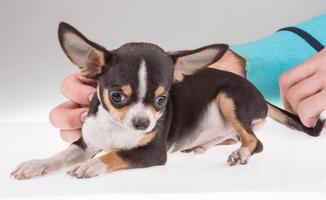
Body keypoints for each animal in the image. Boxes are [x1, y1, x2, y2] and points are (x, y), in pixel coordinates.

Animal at [10, 22, 324, 180]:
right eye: (116, 96)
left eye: (162, 100)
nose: (143, 123)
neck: (117, 130)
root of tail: (258, 93)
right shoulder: (86, 142)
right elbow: (62, 155)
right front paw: (36, 165)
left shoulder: (153, 152)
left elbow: (116, 154)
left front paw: (91, 167)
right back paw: (201, 145)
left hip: (229, 98)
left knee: (254, 141)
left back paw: (240, 153)